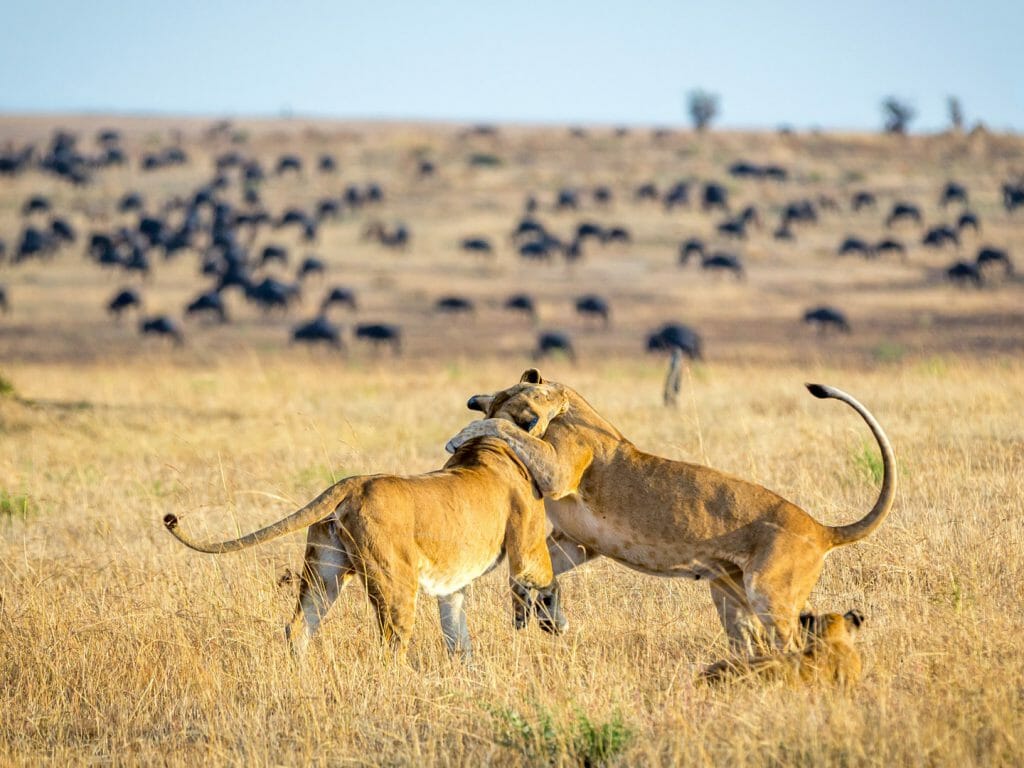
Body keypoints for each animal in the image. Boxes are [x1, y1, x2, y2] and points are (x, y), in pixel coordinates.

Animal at [163, 434, 563, 663]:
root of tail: (351, 484)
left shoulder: (452, 588)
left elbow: (457, 634)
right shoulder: (527, 549)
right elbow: (544, 580)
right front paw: (554, 625)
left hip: (323, 573)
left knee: (298, 627)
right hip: (396, 582)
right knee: (392, 640)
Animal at [445, 370, 895, 655]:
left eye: (526, 397)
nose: (470, 399)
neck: (570, 407)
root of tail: (821, 528)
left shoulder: (559, 471)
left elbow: (504, 430)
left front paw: (460, 435)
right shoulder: (579, 542)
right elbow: (540, 574)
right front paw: (542, 615)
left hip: (770, 592)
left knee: (791, 642)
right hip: (729, 594)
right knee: (750, 641)